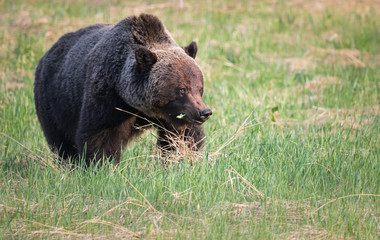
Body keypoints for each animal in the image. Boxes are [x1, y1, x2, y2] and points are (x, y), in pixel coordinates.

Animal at [34, 13, 212, 163]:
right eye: (182, 89)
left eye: (199, 88)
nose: (205, 112)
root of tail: (48, 52)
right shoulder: (107, 98)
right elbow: (101, 135)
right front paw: (101, 165)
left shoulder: (170, 116)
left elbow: (183, 136)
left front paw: (179, 158)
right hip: (56, 104)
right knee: (62, 142)